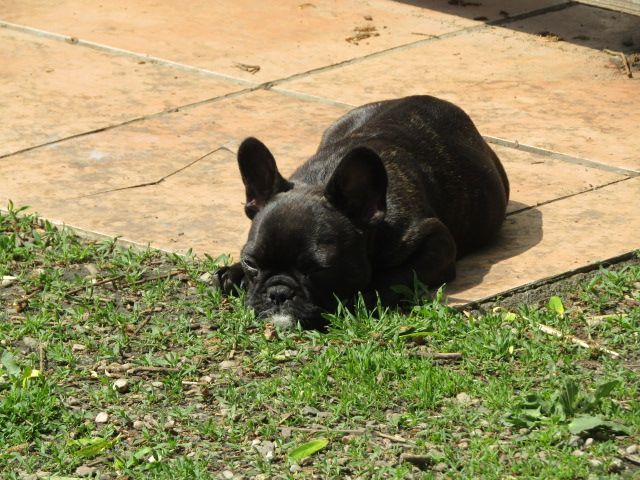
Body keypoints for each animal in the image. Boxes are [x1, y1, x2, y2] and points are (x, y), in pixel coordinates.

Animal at [215, 95, 509, 329]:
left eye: (318, 269)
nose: (278, 293)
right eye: (250, 263)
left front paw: (365, 297)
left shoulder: (437, 243)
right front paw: (233, 273)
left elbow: (399, 274)